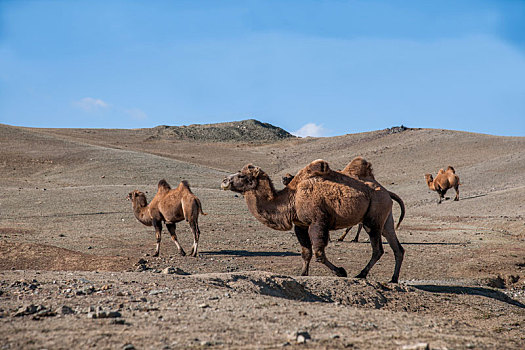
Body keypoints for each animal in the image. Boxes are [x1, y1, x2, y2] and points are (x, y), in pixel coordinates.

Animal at [221, 160, 406, 284]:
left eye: (241, 175)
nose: (224, 181)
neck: (291, 198)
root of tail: (386, 192)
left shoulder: (317, 222)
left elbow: (319, 253)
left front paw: (341, 272)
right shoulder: (300, 225)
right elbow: (306, 252)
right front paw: (303, 274)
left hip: (373, 218)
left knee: (378, 249)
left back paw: (361, 274)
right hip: (385, 218)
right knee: (397, 247)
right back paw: (393, 279)